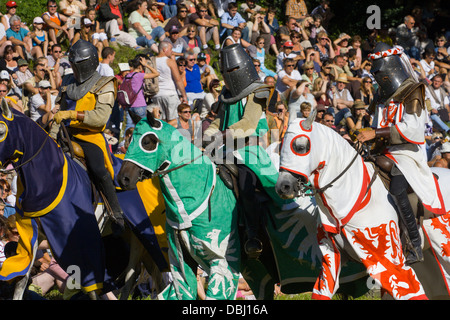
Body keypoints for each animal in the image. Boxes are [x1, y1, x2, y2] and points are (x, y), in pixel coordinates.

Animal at [0, 100, 169, 300]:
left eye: (1, 132)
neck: (49, 178)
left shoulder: (81, 238)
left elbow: (89, 281)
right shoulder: (32, 233)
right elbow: (22, 279)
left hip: (142, 238)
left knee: (140, 273)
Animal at [276, 110, 450, 300]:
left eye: (300, 147)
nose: (283, 187)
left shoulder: (388, 261)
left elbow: (410, 290)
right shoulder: (331, 259)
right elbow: (322, 289)